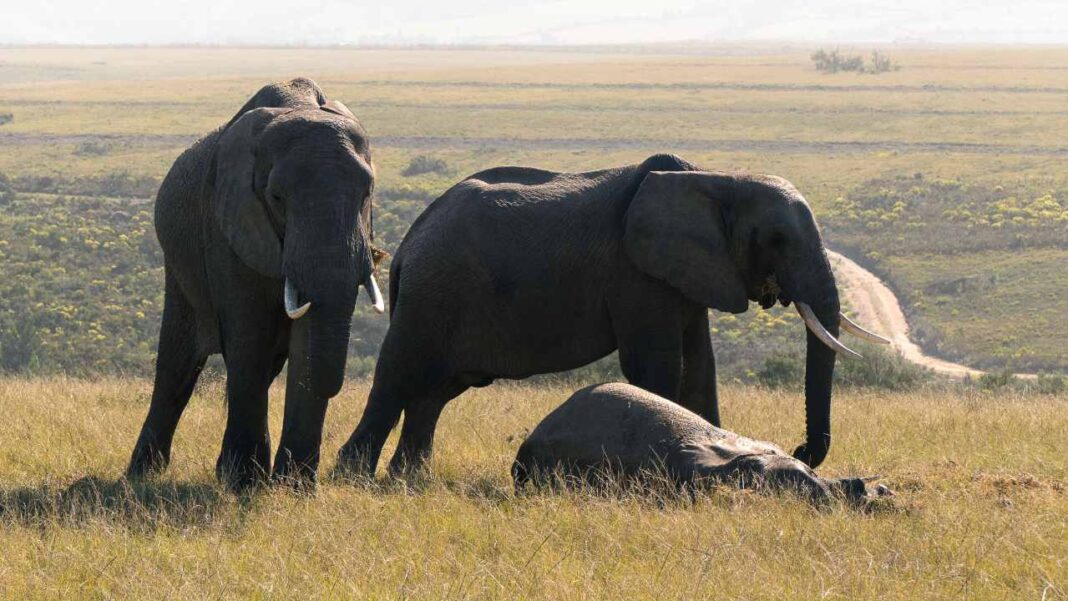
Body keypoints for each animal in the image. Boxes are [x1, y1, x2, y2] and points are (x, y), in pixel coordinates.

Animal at [127, 77, 383, 489]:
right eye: (276, 197)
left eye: (367, 194)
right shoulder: (229, 223)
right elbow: (249, 335)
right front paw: (244, 482)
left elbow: (304, 341)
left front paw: (294, 488)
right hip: (179, 264)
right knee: (177, 366)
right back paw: (143, 474)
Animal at [337, 153, 887, 477]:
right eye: (776, 239)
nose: (801, 449)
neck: (716, 178)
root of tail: (407, 244)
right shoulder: (635, 273)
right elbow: (657, 366)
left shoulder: (688, 273)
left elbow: (701, 368)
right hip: (433, 293)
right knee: (398, 376)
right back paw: (354, 476)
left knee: (434, 392)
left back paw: (409, 481)